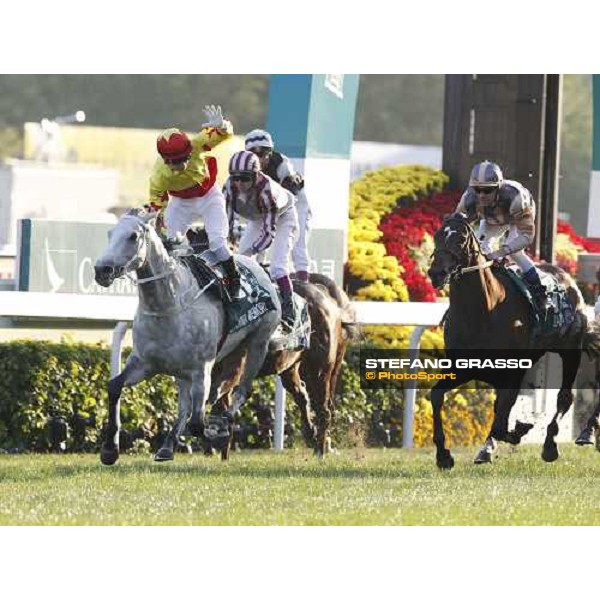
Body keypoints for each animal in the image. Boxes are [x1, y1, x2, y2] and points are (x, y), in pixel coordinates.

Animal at [94, 209, 282, 466]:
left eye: (133, 236)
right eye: (110, 233)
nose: (101, 270)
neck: (169, 304)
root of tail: (256, 264)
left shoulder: (201, 370)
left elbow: (197, 423)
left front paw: (216, 430)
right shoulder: (145, 363)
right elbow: (114, 386)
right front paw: (109, 450)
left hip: (257, 343)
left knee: (242, 390)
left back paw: (222, 422)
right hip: (182, 370)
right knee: (185, 405)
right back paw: (167, 446)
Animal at [204, 272, 358, 454]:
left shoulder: (232, 370)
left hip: (319, 370)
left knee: (324, 410)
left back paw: (320, 450)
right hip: (290, 367)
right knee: (302, 395)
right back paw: (312, 436)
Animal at [426, 213, 600, 472]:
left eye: (461, 239)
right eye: (438, 235)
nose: (436, 272)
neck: (481, 311)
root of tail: (568, 278)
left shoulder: (512, 371)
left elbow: (502, 420)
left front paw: (519, 430)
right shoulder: (463, 367)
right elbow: (437, 396)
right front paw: (443, 455)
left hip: (570, 350)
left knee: (564, 398)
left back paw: (553, 444)